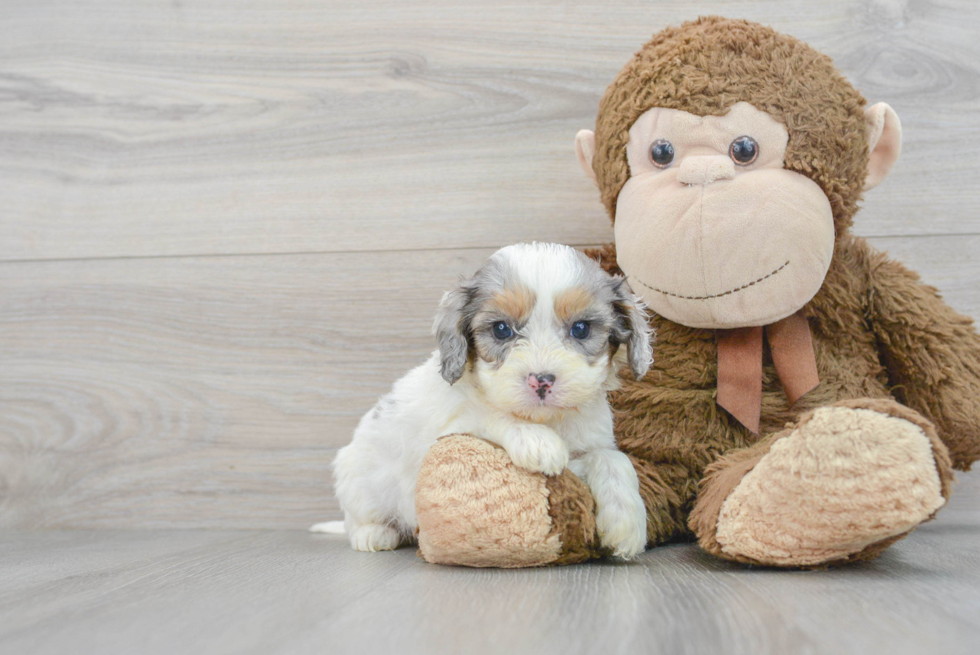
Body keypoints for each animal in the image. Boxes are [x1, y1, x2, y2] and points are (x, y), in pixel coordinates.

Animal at [324, 243, 660, 560]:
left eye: (581, 328)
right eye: (501, 329)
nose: (541, 380)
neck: (546, 419)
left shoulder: (592, 439)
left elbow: (613, 458)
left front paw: (627, 523)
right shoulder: (450, 429)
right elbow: (488, 415)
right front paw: (537, 441)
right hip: (358, 481)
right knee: (357, 521)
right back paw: (374, 534)